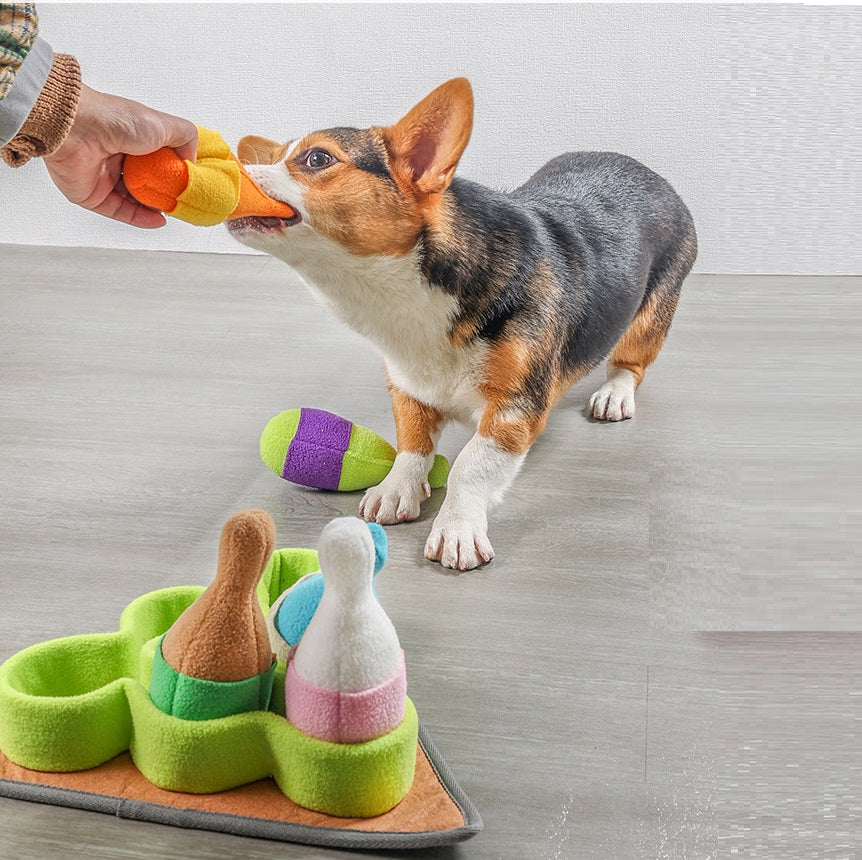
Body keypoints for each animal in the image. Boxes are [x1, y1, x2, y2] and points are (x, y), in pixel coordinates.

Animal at [231, 77, 704, 568]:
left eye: (317, 158)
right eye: (274, 156)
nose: (231, 165)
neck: (405, 297)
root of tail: (647, 171)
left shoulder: (514, 408)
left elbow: (470, 466)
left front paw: (457, 530)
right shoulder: (408, 388)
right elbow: (412, 445)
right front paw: (395, 490)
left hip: (651, 316)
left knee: (630, 363)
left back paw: (614, 394)